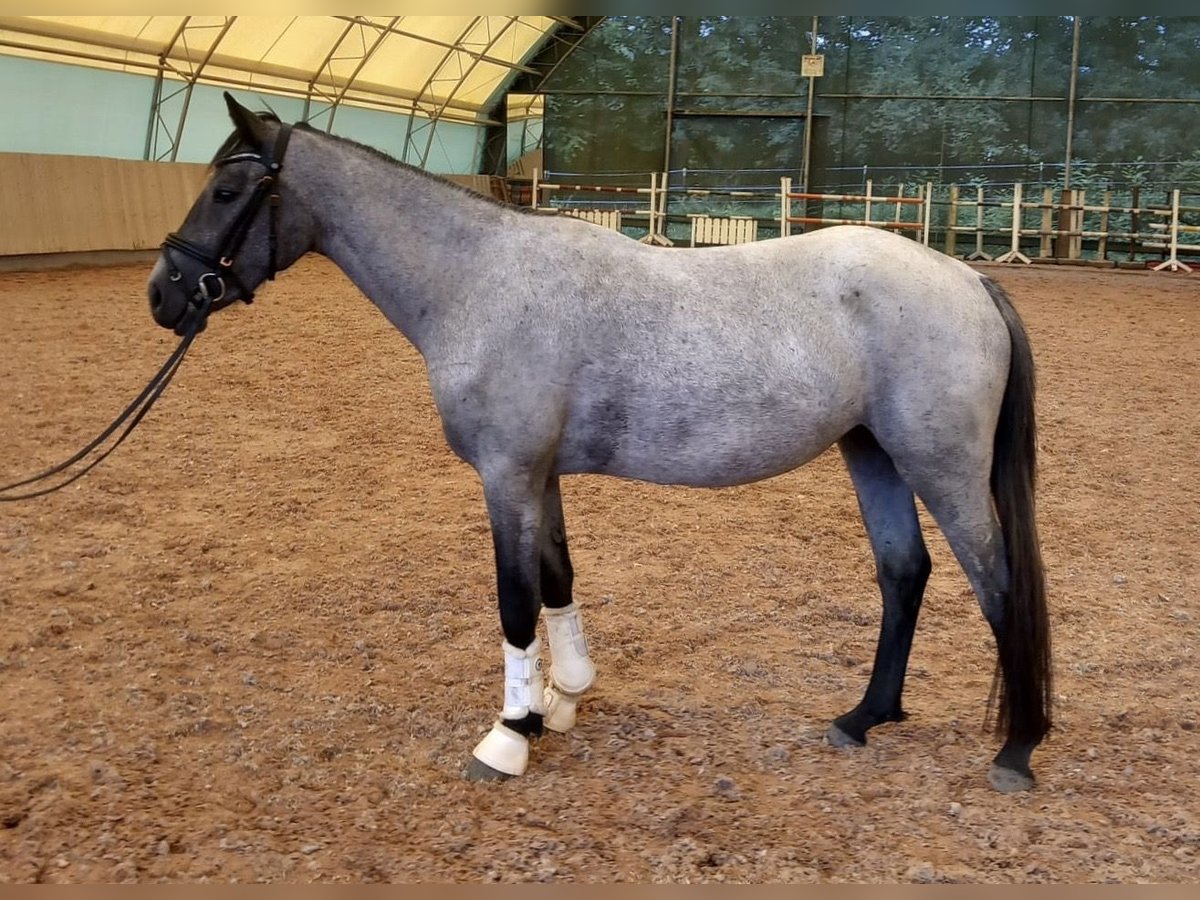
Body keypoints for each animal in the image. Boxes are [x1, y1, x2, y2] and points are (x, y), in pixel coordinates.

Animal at [147, 95, 1051, 792]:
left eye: (228, 188)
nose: (165, 292)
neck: (480, 279)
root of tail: (968, 276)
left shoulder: (507, 474)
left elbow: (514, 601)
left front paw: (510, 734)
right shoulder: (539, 475)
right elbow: (557, 578)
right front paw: (563, 698)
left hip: (941, 465)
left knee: (998, 584)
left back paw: (1017, 747)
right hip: (873, 453)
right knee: (905, 573)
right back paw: (865, 717)